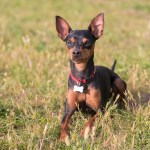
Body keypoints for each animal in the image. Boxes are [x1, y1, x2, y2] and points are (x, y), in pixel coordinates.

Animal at [55, 12, 126, 143]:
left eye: (87, 42)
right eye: (69, 42)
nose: (76, 52)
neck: (82, 78)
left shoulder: (99, 110)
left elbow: (90, 121)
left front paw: (85, 133)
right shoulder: (69, 109)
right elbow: (63, 123)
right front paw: (64, 137)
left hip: (118, 82)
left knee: (122, 97)